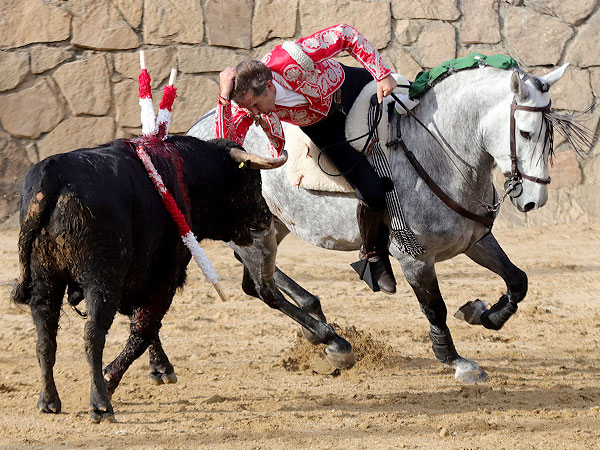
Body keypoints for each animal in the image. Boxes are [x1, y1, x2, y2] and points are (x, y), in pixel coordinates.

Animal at [10, 136, 352, 422]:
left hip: (44, 281)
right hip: (100, 281)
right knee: (92, 336)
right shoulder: (165, 273)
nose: (267, 219)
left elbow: (144, 324)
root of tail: (53, 177)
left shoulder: (144, 276)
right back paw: (100, 404)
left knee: (44, 339)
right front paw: (112, 378)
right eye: (251, 182)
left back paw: (48, 401)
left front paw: (159, 368)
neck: (186, 175)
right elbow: (143, 328)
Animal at [189, 62, 592, 380]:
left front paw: (481, 313)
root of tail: (195, 132)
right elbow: (435, 307)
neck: (440, 152)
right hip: (256, 232)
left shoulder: (474, 241)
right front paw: (456, 361)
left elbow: (518, 281)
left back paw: (315, 318)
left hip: (272, 225)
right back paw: (333, 341)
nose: (533, 200)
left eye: (549, 133)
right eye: (524, 131)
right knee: (264, 289)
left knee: (255, 282)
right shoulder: (414, 258)